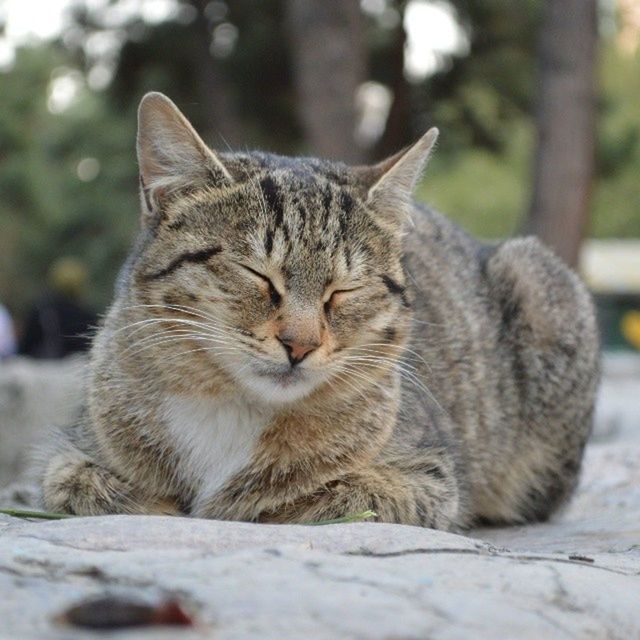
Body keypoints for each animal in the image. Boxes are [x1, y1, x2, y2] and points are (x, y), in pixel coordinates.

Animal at [41, 91, 600, 528]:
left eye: (343, 291)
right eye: (257, 274)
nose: (300, 343)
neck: (232, 407)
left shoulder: (430, 476)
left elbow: (328, 496)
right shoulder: (69, 453)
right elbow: (78, 484)